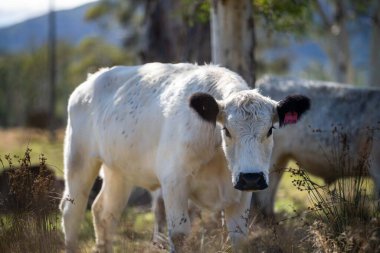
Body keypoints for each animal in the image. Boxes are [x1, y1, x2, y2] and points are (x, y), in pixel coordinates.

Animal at [59, 62, 308, 251]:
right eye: (227, 130)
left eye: (270, 130)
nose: (251, 177)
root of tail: (91, 80)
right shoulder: (174, 183)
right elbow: (179, 235)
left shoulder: (241, 193)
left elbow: (239, 237)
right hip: (79, 159)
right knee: (72, 211)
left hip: (119, 171)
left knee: (105, 213)